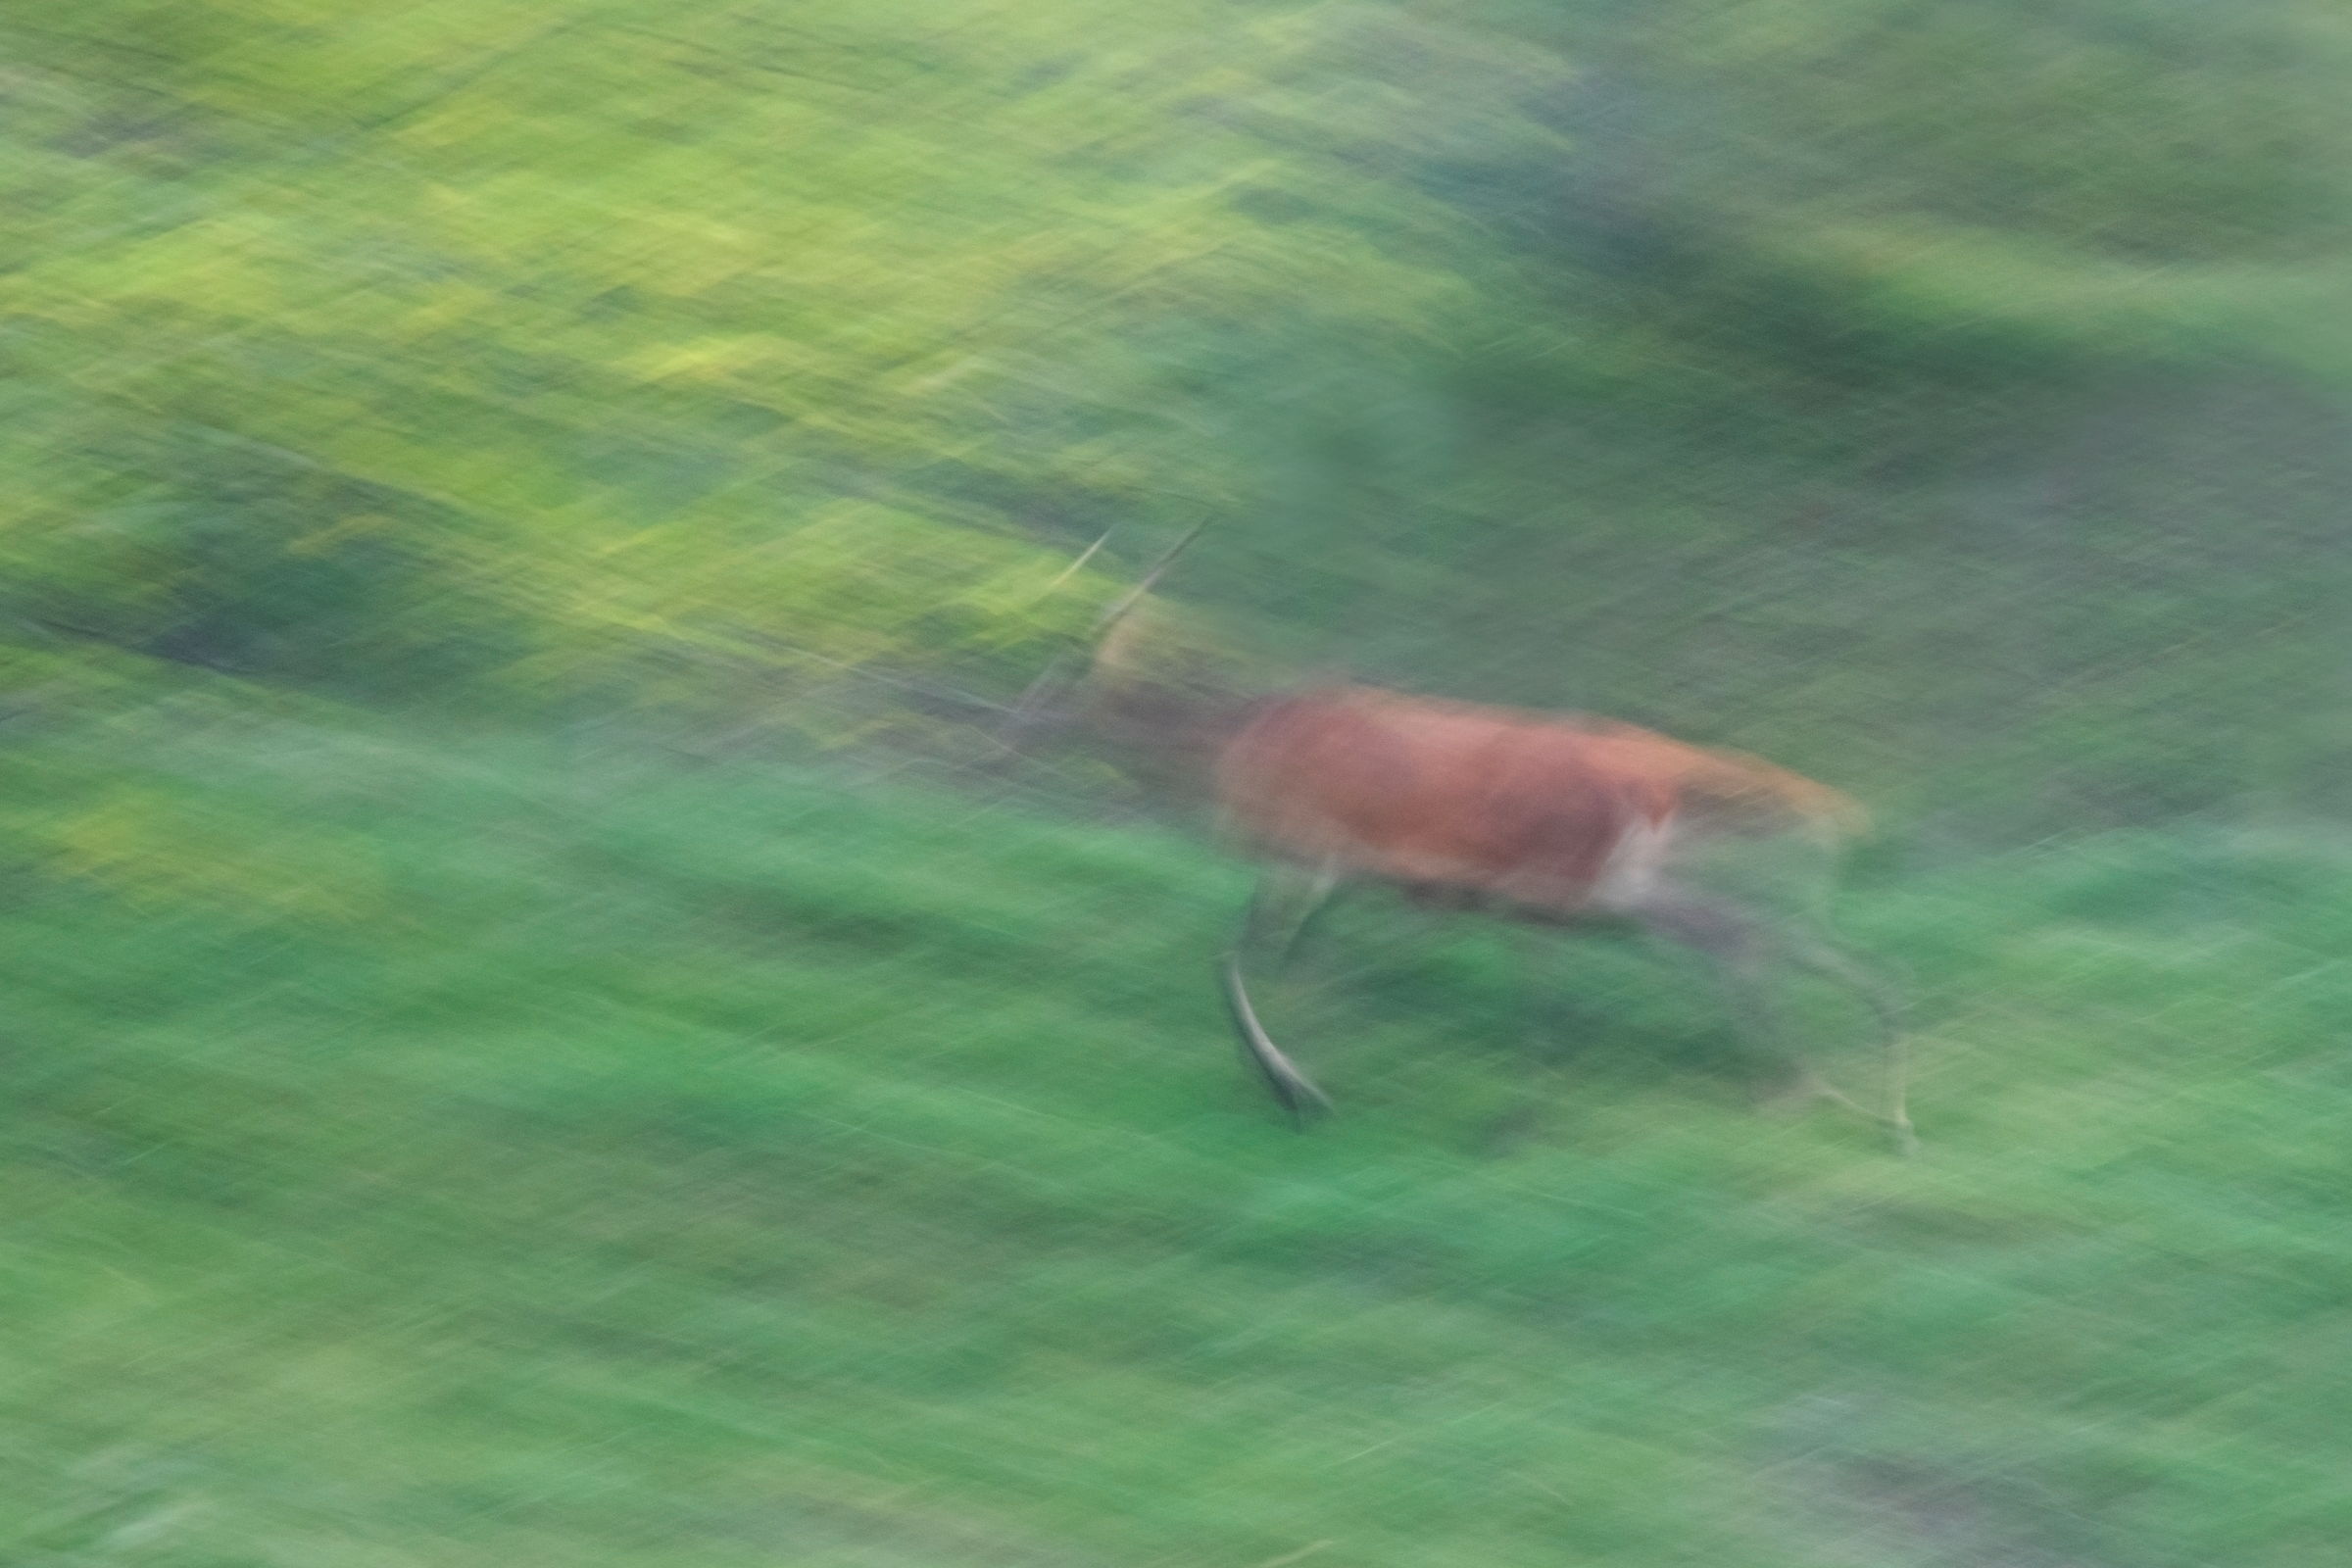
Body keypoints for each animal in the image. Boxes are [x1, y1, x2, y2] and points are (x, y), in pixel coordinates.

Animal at [1012, 526, 1914, 1153]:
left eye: (1058, 669)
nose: (1015, 722)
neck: (1230, 752)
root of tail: (1664, 773)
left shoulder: (1312, 849)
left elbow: (1237, 957)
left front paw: (1293, 1087)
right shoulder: (1349, 875)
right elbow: (1301, 965)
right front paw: (1302, 1067)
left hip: (1571, 883)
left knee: (1706, 959)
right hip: (1620, 891)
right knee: (1766, 946)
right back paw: (1837, 1101)